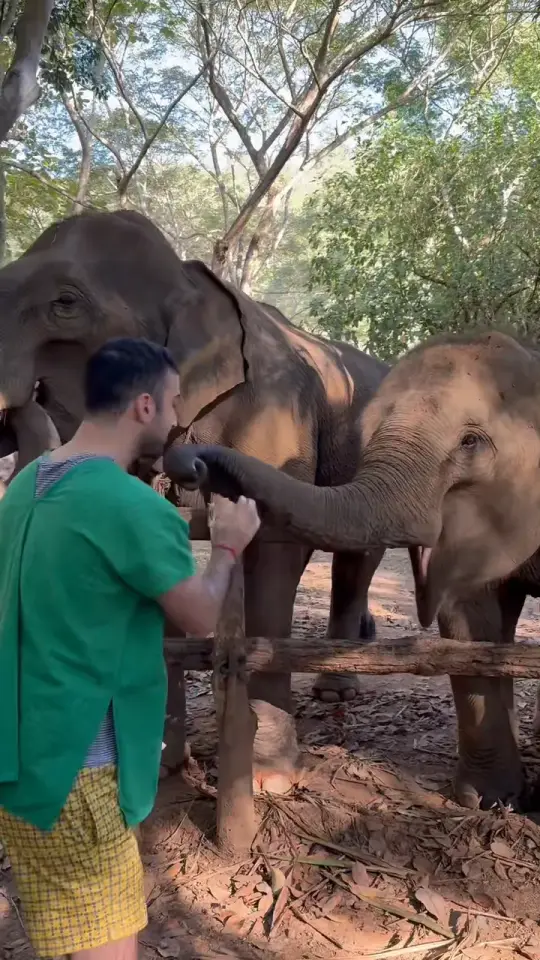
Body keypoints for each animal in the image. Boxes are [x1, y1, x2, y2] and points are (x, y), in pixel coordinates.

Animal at [0, 208, 390, 792]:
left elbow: (275, 553)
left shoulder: (274, 412)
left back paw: (333, 692)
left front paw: (269, 775)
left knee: (359, 556)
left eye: (64, 303)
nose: (191, 467)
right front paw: (162, 768)